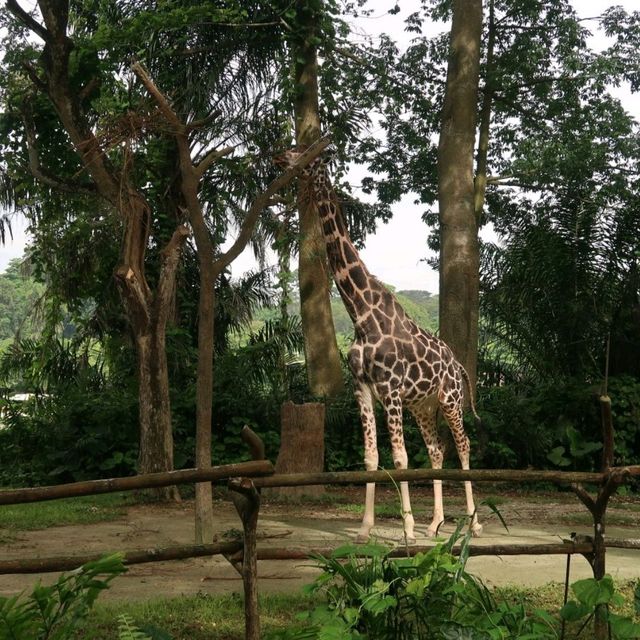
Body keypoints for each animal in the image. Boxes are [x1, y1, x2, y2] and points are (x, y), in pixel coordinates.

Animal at [274, 146, 480, 544]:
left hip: (449, 398)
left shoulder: (391, 388)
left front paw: (407, 529)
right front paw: (365, 528)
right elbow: (371, 456)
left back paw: (474, 522)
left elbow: (400, 458)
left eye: (302, 151)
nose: (277, 156)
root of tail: (457, 362)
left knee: (463, 445)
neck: (361, 315)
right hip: (423, 406)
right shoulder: (364, 387)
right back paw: (436, 523)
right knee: (436, 450)